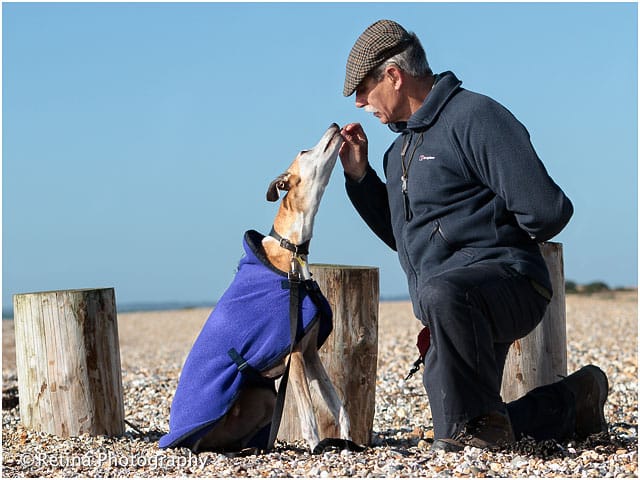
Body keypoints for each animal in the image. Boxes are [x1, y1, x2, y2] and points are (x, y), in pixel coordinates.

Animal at [158, 124, 352, 454]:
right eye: (304, 151)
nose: (335, 126)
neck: (291, 251)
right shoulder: (295, 354)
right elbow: (309, 415)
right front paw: (317, 447)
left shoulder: (310, 352)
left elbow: (337, 404)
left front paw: (349, 440)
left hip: (264, 396)